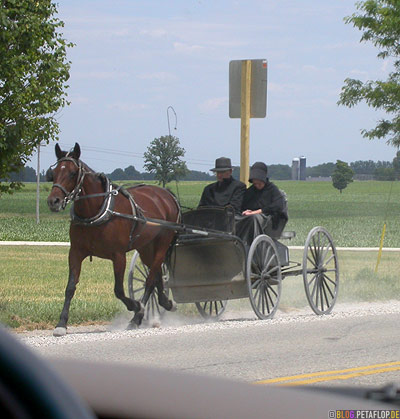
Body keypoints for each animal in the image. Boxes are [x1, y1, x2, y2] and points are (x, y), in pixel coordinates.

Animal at [46, 143, 179, 336]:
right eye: (54, 172)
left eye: (72, 173)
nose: (53, 201)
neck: (95, 211)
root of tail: (167, 195)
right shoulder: (76, 252)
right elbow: (70, 287)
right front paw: (61, 324)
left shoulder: (118, 255)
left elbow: (118, 290)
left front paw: (136, 305)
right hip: (146, 247)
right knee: (155, 276)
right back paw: (165, 303)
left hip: (162, 243)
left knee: (150, 279)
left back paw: (138, 316)